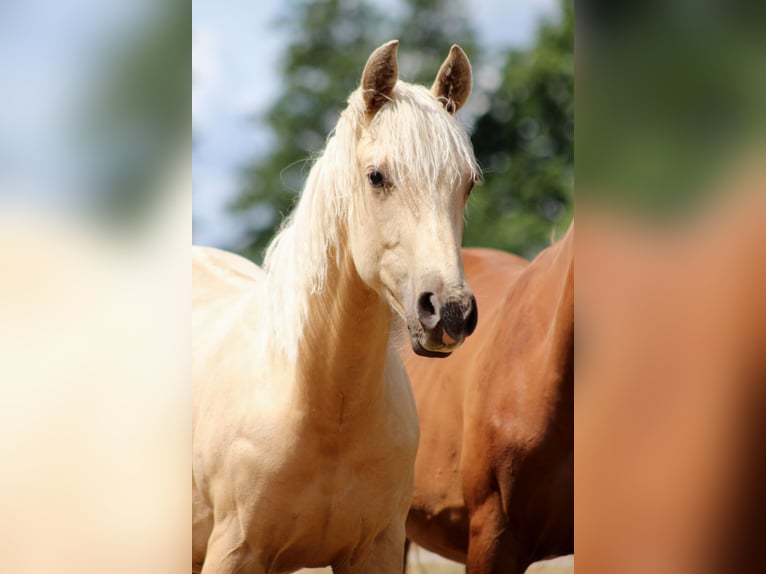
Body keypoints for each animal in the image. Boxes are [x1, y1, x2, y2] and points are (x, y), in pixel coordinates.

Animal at [192, 41, 480, 574]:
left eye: (468, 183)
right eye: (377, 177)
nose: (449, 312)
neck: (326, 405)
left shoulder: (377, 550)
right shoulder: (234, 551)